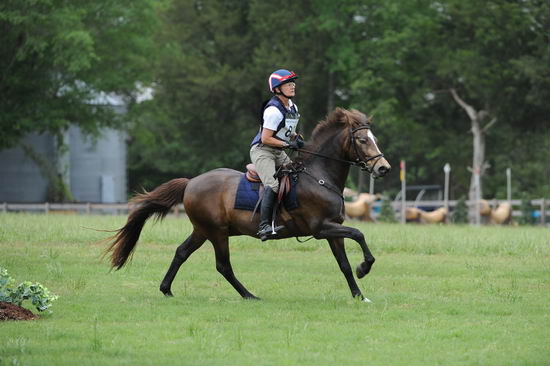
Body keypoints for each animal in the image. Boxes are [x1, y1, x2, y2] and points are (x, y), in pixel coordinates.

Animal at [104, 109, 392, 304]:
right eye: (363, 140)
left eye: (374, 138)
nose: (384, 168)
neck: (319, 176)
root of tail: (191, 182)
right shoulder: (321, 229)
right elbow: (359, 234)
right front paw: (364, 268)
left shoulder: (333, 229)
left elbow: (343, 263)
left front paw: (359, 294)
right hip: (216, 233)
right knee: (223, 266)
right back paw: (249, 294)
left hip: (202, 231)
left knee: (181, 252)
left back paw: (166, 289)